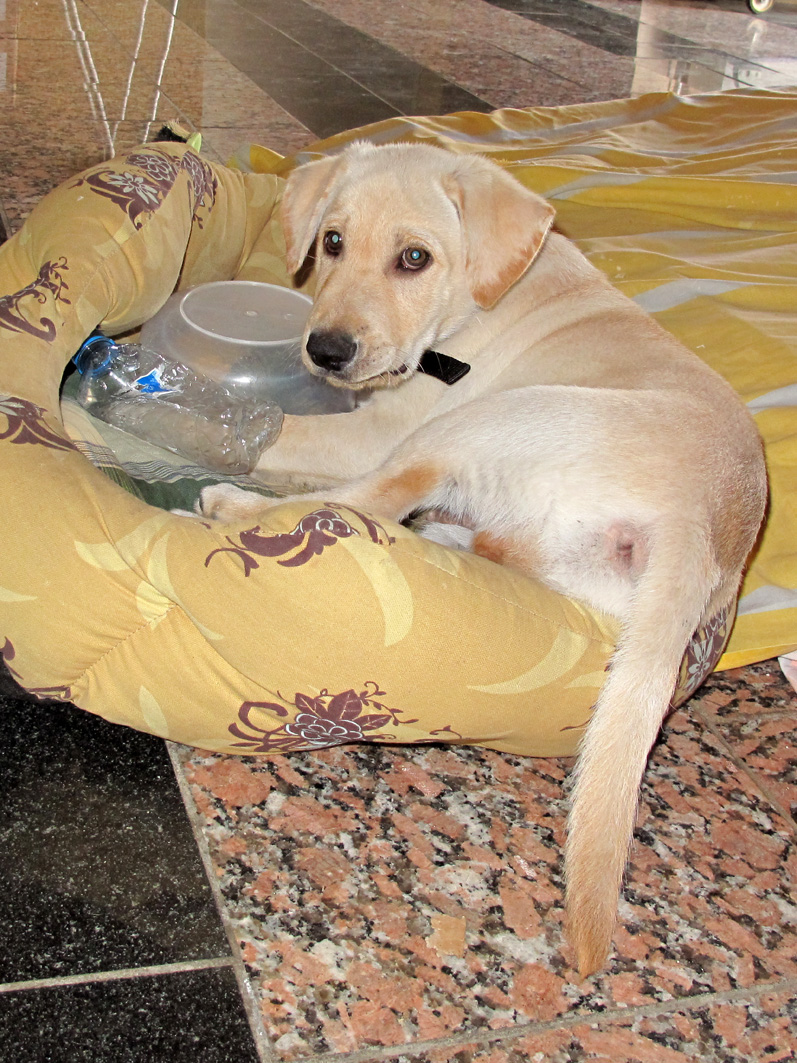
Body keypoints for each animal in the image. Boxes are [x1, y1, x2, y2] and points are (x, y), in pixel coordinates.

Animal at [199, 143, 769, 977]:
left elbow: (281, 432)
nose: (325, 351)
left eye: (413, 258)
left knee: (368, 503)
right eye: (331, 241)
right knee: (484, 541)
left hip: (479, 420)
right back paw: (447, 538)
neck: (473, 306)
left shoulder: (375, 429)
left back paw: (234, 507)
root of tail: (695, 527)